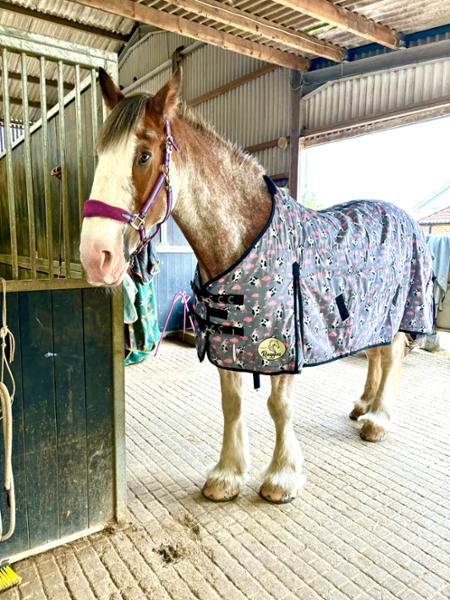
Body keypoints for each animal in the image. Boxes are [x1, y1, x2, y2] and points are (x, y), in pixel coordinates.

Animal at [79, 68, 434, 504]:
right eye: (100, 156)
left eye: (143, 156)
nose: (95, 256)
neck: (245, 242)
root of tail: (404, 215)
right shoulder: (227, 339)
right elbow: (231, 404)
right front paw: (227, 475)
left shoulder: (284, 345)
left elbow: (279, 407)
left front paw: (282, 478)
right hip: (367, 316)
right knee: (375, 356)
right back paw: (363, 406)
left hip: (400, 311)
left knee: (392, 356)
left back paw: (378, 419)